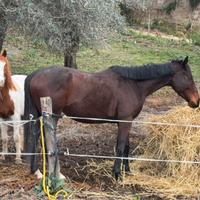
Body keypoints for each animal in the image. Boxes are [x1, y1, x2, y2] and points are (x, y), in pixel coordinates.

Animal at [23, 56, 198, 180]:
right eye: (187, 76)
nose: (196, 102)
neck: (133, 85)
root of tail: (35, 74)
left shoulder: (127, 121)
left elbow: (126, 146)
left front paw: (127, 171)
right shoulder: (125, 121)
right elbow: (120, 146)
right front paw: (117, 174)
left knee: (37, 138)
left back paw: (37, 171)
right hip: (52, 116)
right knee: (45, 139)